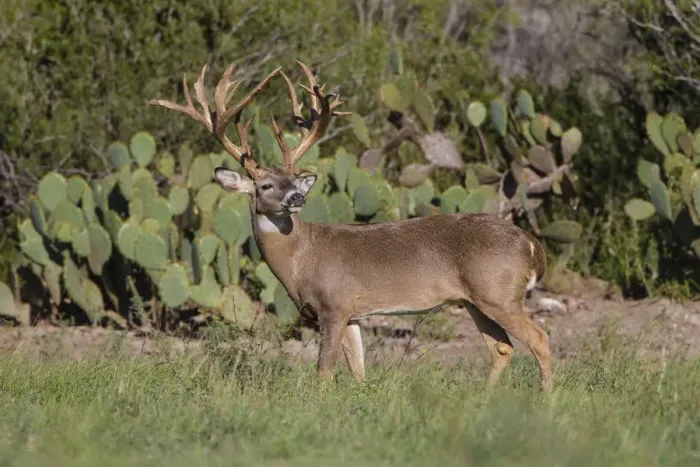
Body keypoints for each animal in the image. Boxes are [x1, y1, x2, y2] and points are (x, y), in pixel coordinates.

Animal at [149, 60, 553, 392]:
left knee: (539, 338)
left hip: (498, 293)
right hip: (474, 299)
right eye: (265, 186)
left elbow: (323, 370)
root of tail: (532, 244)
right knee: (501, 346)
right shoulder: (354, 314)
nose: (296, 197)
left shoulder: (334, 305)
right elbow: (358, 370)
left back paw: (546, 399)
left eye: (293, 180)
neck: (301, 259)